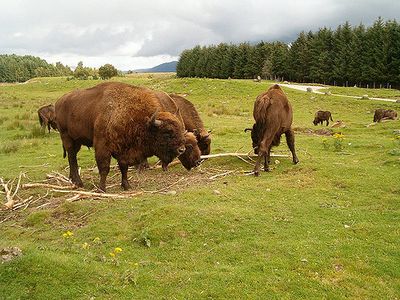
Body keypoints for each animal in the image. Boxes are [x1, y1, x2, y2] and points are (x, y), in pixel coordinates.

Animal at [54, 81, 188, 191]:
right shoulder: (103, 147)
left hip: (76, 140)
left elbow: (124, 167)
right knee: (72, 157)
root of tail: (59, 102)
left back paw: (72, 179)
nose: (181, 150)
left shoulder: (123, 149)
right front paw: (102, 189)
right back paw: (78, 183)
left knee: (72, 158)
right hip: (67, 137)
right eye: (167, 132)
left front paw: (126, 186)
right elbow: (104, 168)